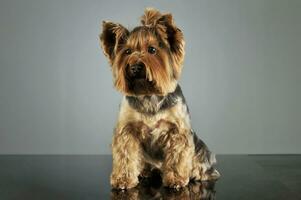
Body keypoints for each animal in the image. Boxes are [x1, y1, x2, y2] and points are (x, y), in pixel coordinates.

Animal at [99, 7, 219, 189]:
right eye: (127, 51)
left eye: (152, 50)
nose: (135, 66)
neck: (149, 95)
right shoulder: (127, 130)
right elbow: (125, 155)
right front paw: (123, 179)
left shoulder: (178, 131)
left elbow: (177, 155)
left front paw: (176, 179)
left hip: (202, 151)